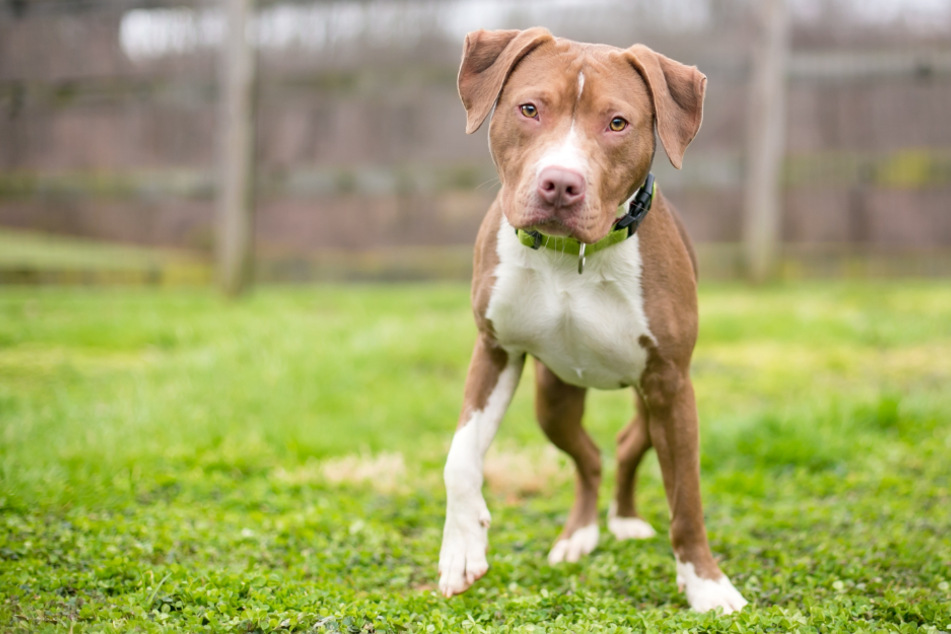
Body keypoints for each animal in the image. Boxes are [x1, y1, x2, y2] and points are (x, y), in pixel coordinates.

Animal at [438, 25, 752, 612]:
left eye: (617, 123)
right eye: (530, 109)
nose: (560, 184)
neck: (572, 256)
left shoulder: (671, 383)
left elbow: (686, 498)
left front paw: (706, 584)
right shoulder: (495, 349)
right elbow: (460, 456)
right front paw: (462, 550)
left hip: (655, 400)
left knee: (629, 446)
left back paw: (624, 521)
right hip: (553, 400)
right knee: (588, 458)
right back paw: (577, 535)